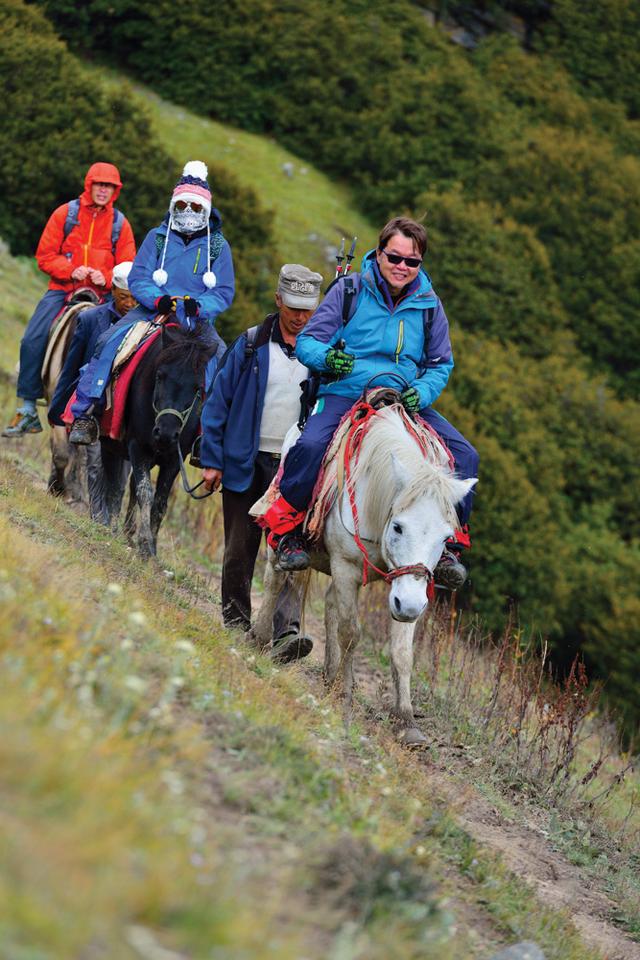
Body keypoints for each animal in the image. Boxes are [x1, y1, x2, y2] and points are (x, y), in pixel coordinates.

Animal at [101, 318, 219, 560]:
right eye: (160, 376)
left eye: (198, 388)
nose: (165, 433)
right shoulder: (137, 448)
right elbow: (144, 493)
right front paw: (145, 543)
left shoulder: (173, 459)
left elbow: (160, 502)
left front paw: (152, 549)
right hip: (109, 444)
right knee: (114, 485)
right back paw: (112, 526)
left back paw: (128, 532)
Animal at [252, 402, 478, 748]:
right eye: (398, 527)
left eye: (446, 537)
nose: (409, 606)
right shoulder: (347, 567)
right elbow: (351, 633)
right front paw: (345, 696)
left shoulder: (406, 587)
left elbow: (401, 652)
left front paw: (407, 722)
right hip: (284, 542)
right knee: (275, 579)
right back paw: (261, 637)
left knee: (330, 604)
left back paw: (329, 675)